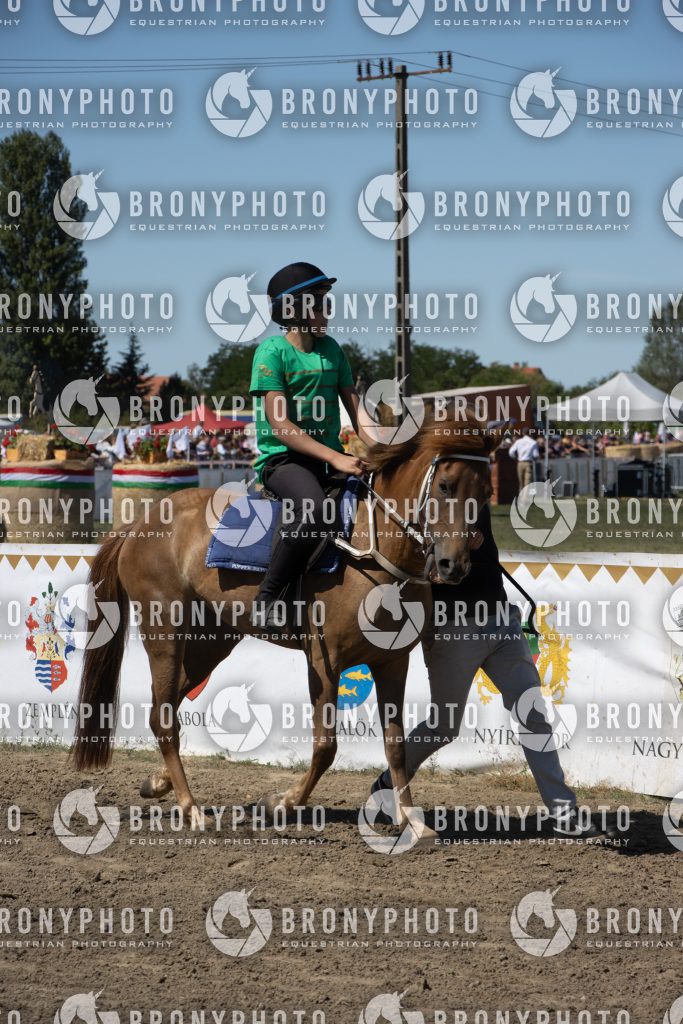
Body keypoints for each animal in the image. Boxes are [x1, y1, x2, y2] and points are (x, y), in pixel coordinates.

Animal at [71, 411, 497, 828]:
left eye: (484, 493)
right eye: (445, 485)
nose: (454, 565)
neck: (373, 552)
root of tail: (139, 525)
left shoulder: (392, 662)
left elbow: (396, 746)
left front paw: (411, 819)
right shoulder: (324, 663)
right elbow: (326, 746)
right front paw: (282, 802)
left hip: (213, 641)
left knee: (166, 705)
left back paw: (159, 782)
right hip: (166, 633)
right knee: (164, 718)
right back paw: (190, 808)